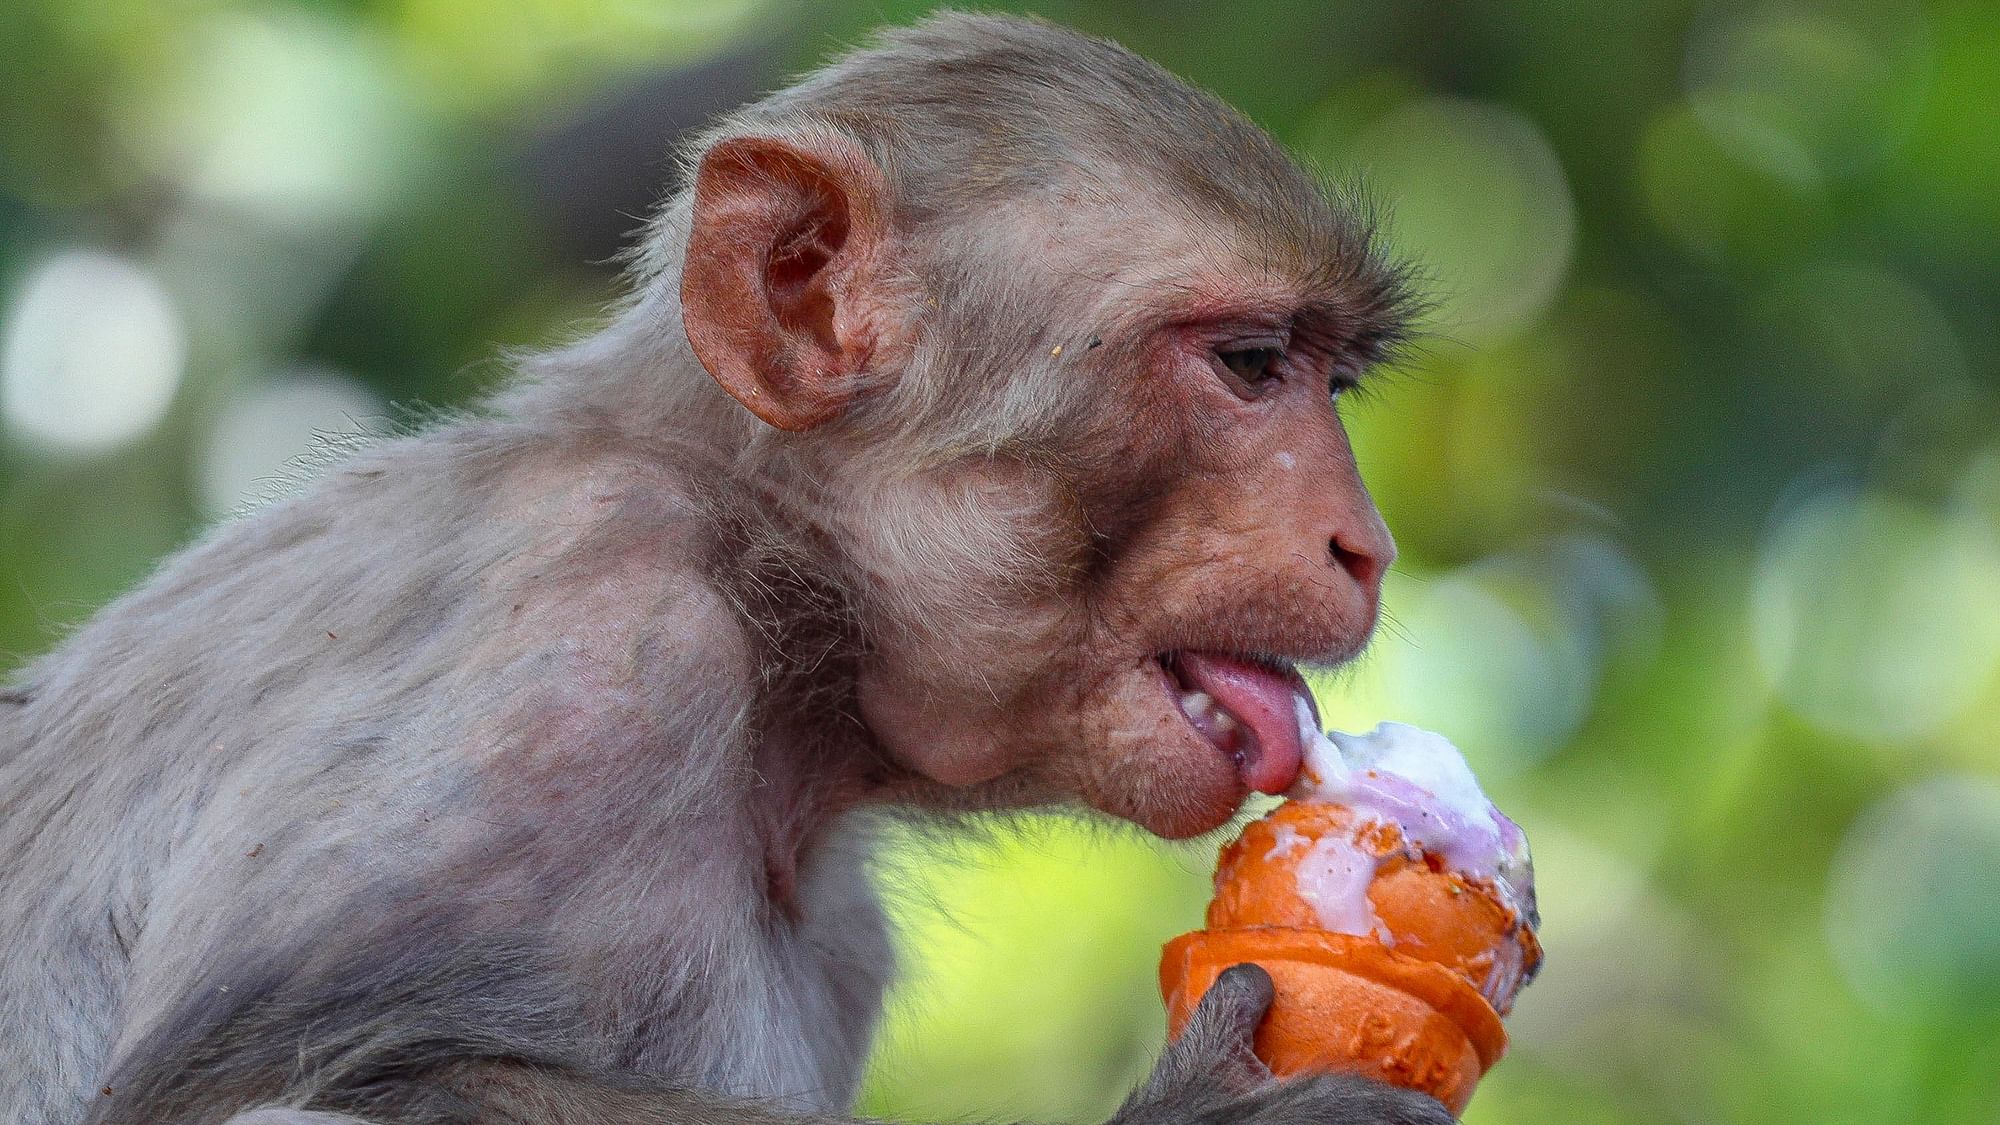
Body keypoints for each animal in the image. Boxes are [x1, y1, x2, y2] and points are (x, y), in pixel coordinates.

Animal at [0, 10, 1440, 1120]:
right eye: (1250, 365)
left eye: (1332, 380)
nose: (1364, 545)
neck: (763, 581)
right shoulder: (577, 656)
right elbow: (228, 1095)